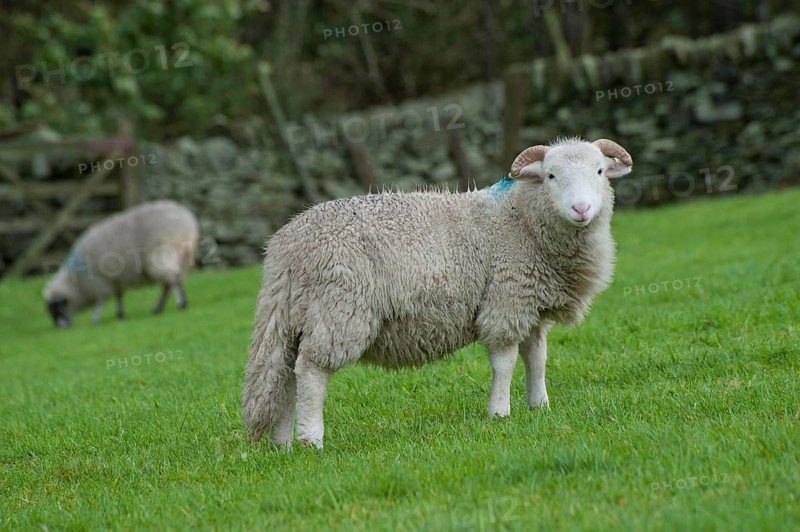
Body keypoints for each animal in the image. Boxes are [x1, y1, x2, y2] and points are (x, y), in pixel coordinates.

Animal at [43, 200, 199, 328]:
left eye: (56, 307)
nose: (60, 328)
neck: (77, 283)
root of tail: (186, 218)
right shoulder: (115, 279)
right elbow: (119, 295)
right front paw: (120, 313)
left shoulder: (99, 282)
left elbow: (102, 301)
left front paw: (95, 319)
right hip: (183, 257)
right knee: (170, 283)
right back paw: (160, 308)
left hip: (162, 253)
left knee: (173, 279)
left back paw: (180, 304)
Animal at [242, 137, 633, 448]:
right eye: (551, 175)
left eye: (600, 171)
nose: (581, 208)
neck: (521, 219)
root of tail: (286, 246)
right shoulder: (505, 300)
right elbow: (505, 362)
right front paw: (499, 412)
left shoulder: (530, 305)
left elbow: (536, 358)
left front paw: (540, 406)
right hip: (339, 307)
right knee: (311, 371)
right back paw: (311, 439)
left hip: (296, 316)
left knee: (285, 376)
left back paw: (282, 443)